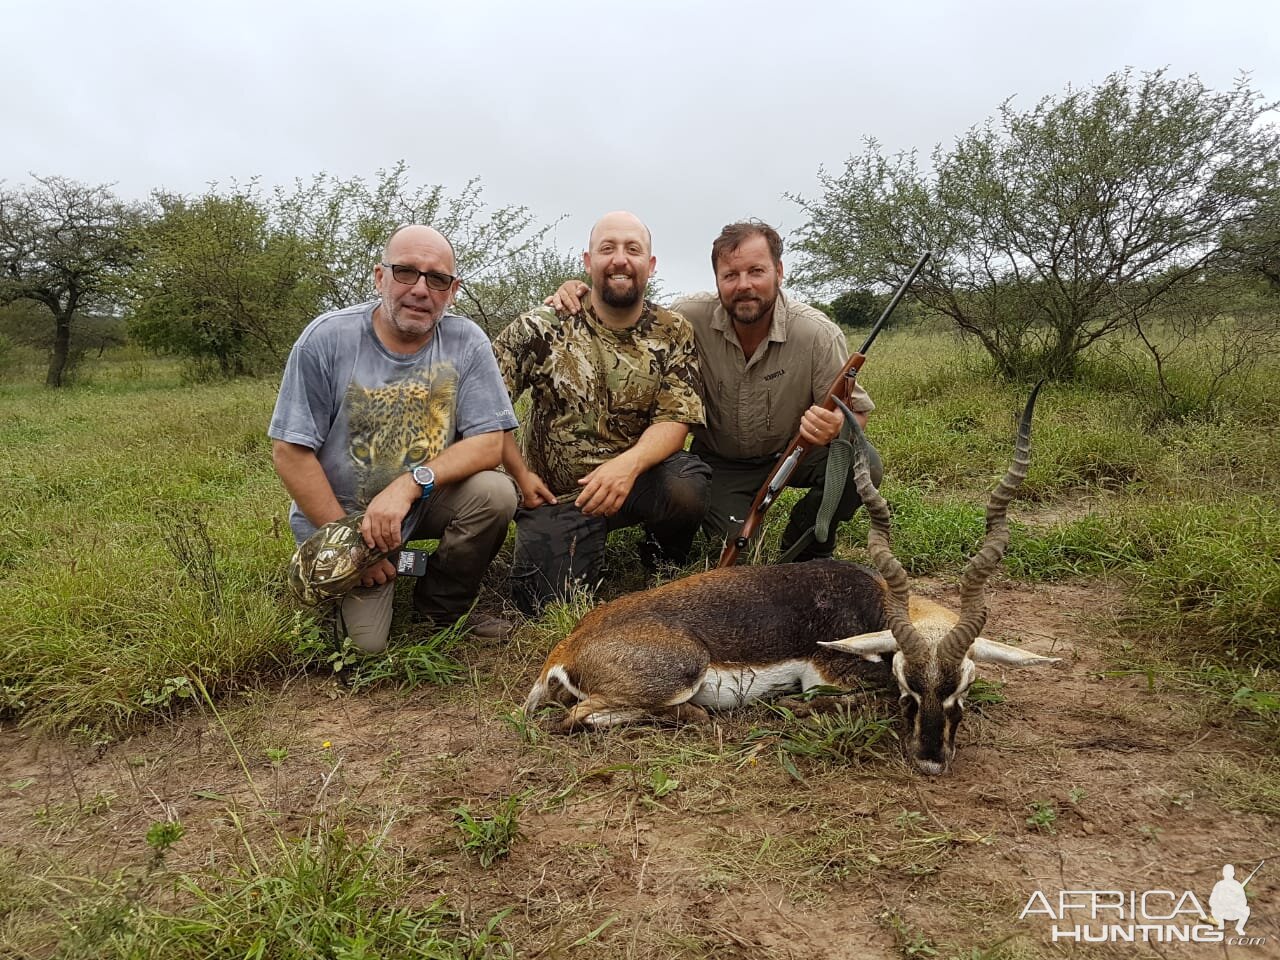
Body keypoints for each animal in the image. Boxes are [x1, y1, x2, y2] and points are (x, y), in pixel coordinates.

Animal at [522, 386, 1059, 773]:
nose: (930, 760)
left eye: (965, 683)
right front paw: (799, 711)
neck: (871, 600)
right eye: (908, 681)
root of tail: (565, 649)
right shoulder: (827, 675)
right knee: (579, 719)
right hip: (681, 674)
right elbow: (864, 696)